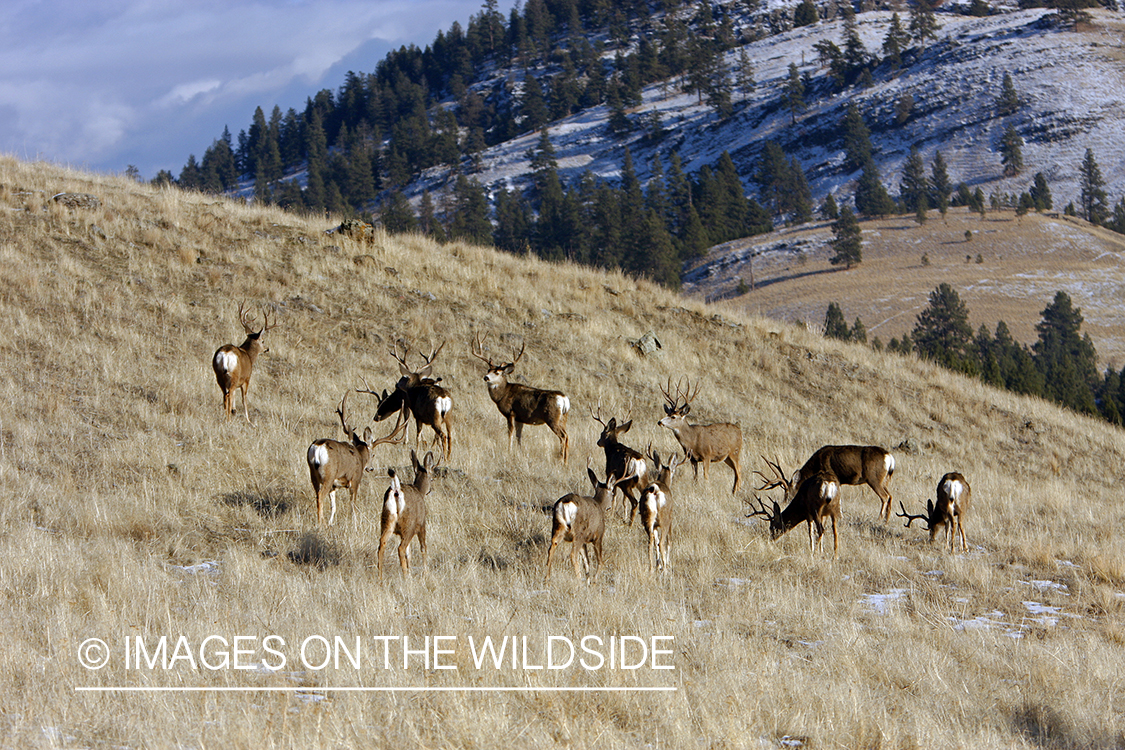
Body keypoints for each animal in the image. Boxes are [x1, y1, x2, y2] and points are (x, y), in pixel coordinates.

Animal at [306, 391, 407, 527]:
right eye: (373, 455)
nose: (371, 468)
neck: (360, 455)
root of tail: (317, 447)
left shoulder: (334, 485)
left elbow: (334, 506)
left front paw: (331, 522)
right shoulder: (355, 480)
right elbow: (353, 505)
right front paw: (354, 523)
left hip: (313, 473)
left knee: (317, 494)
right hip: (329, 474)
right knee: (320, 496)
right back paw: (320, 522)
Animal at [378, 450, 434, 583]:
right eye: (432, 478)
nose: (431, 490)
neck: (419, 491)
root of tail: (396, 488)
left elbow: (409, 553)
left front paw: (410, 573)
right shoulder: (422, 524)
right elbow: (423, 547)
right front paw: (426, 573)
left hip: (387, 520)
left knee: (382, 543)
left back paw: (380, 578)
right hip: (409, 525)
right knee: (401, 548)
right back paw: (405, 579)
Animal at [470, 333, 570, 463]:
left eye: (497, 372)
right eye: (488, 370)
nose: (486, 377)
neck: (503, 394)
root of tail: (564, 399)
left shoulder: (511, 413)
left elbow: (510, 433)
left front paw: (508, 450)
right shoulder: (520, 418)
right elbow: (519, 436)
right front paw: (519, 452)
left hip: (552, 417)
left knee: (563, 436)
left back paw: (561, 460)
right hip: (563, 418)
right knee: (567, 436)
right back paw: (565, 462)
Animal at [755, 445, 895, 522]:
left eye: (787, 492)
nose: (784, 502)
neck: (817, 464)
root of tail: (889, 457)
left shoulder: (832, 476)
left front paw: (840, 516)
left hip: (874, 478)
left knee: (885, 496)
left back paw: (879, 519)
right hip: (885, 479)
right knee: (890, 496)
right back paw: (886, 520)